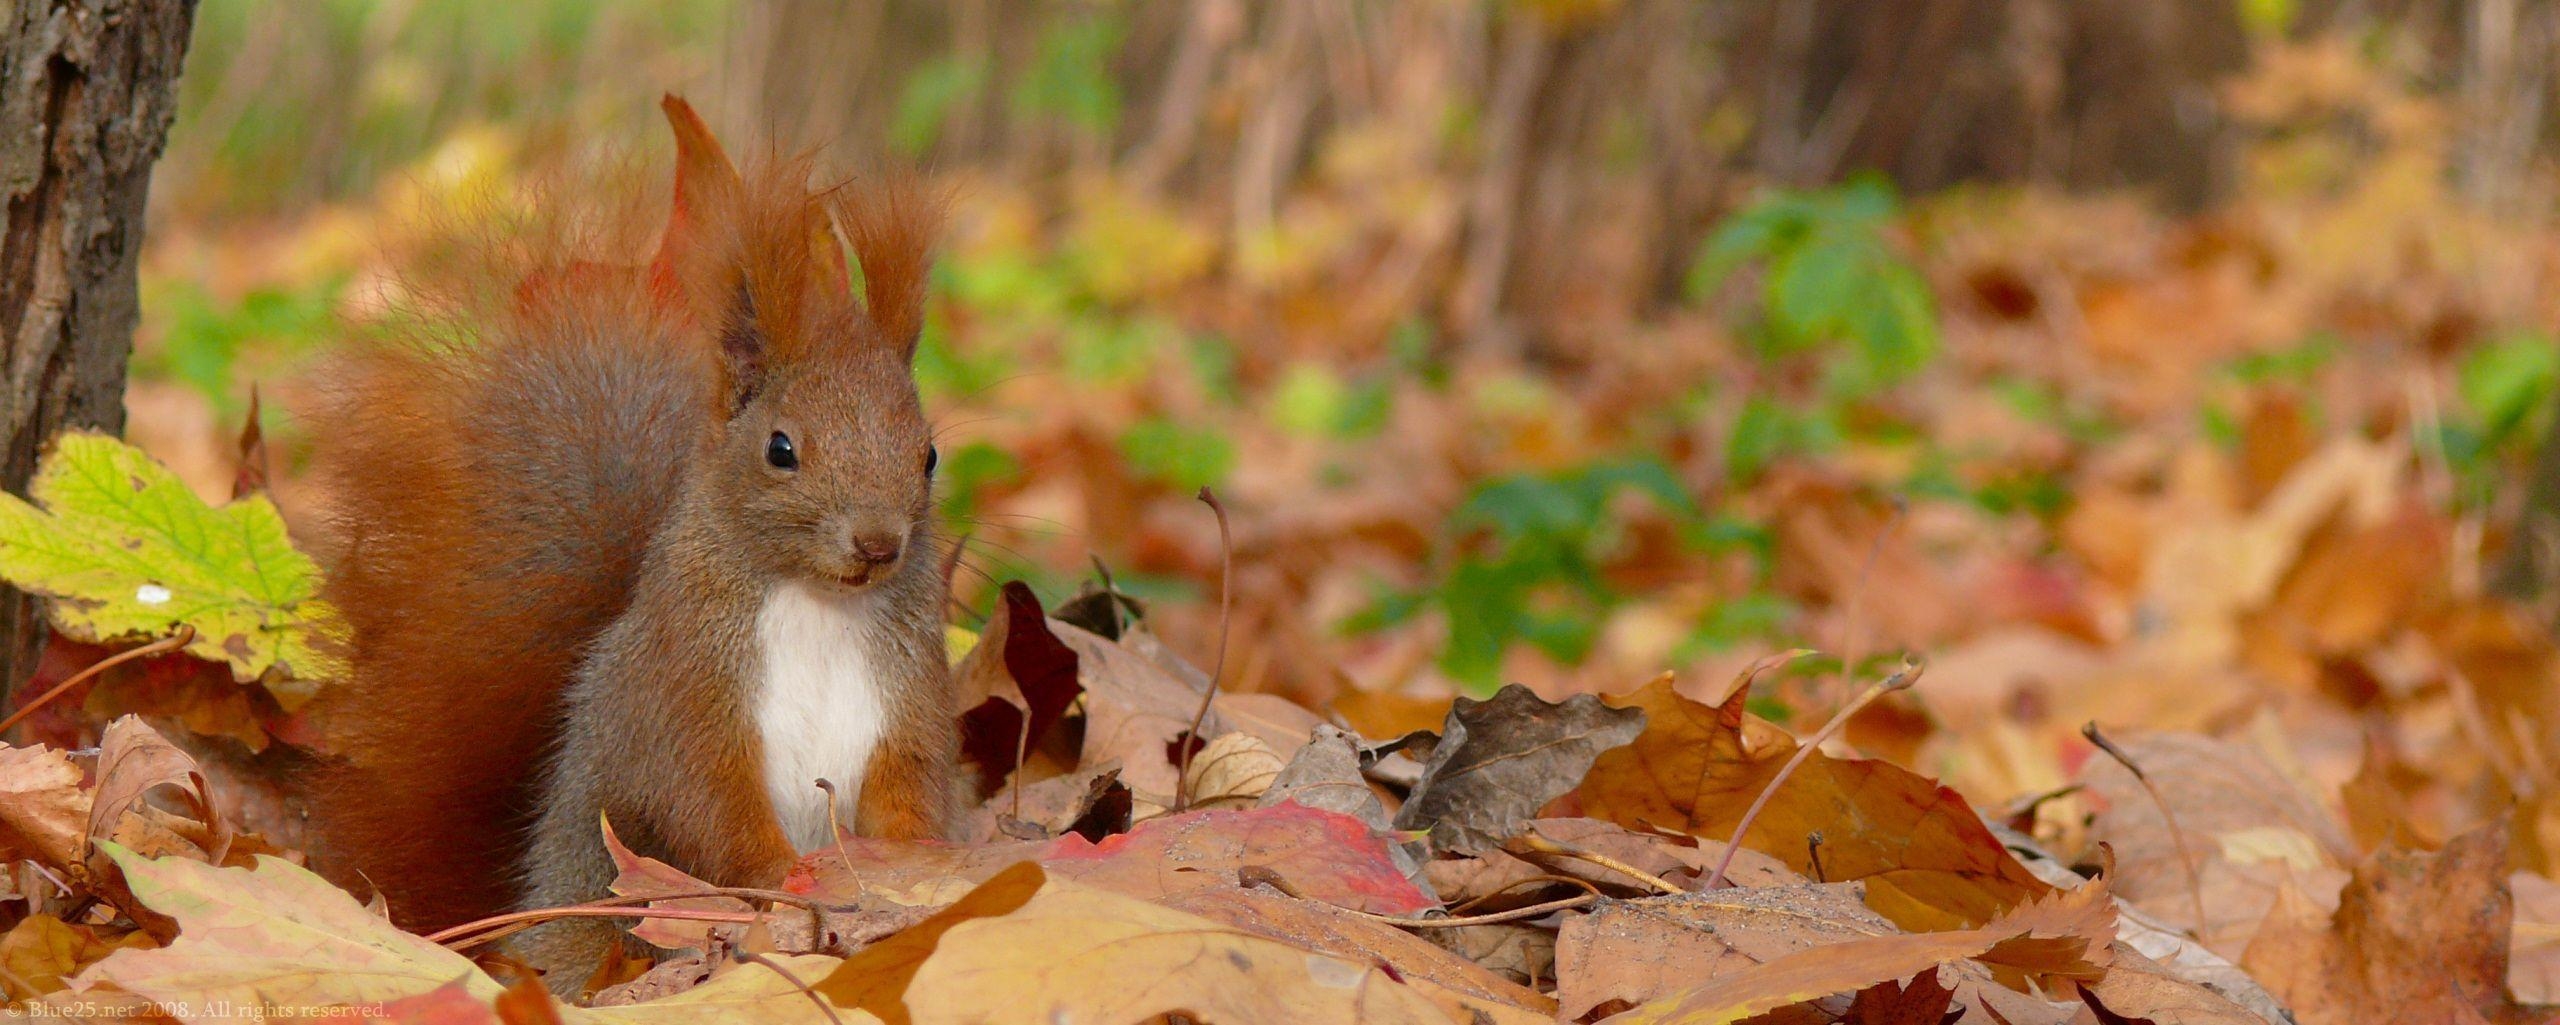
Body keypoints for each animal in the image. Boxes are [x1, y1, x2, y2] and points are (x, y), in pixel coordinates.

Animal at [299, 98, 962, 994]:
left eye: (928, 454)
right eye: (781, 448)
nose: (879, 542)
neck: (820, 602)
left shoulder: (907, 696)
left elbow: (909, 792)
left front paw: (915, 870)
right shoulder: (685, 693)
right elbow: (711, 805)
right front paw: (788, 881)